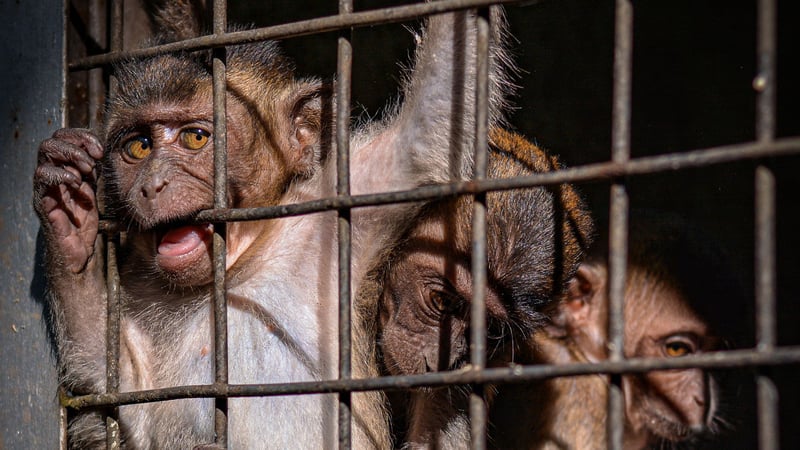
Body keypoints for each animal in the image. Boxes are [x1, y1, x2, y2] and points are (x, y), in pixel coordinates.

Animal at [32, 0, 512, 446]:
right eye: (139, 146)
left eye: (195, 137)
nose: (152, 185)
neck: (240, 265)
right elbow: (125, 395)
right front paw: (69, 223)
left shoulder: (335, 209)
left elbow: (430, 125)